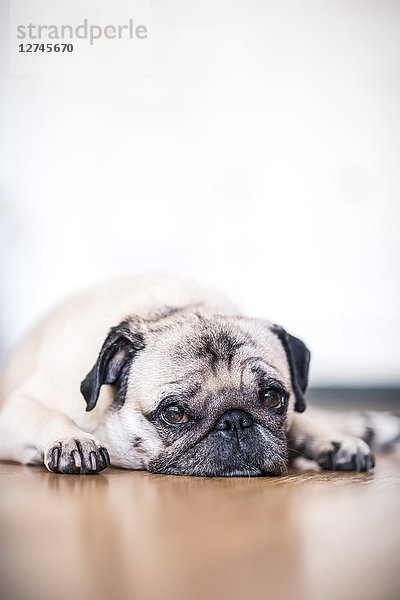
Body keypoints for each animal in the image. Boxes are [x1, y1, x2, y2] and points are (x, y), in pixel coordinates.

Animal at [0, 278, 376, 478]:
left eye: (272, 398)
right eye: (174, 413)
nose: (235, 420)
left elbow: (302, 419)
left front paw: (338, 440)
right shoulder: (16, 409)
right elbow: (44, 414)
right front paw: (74, 440)